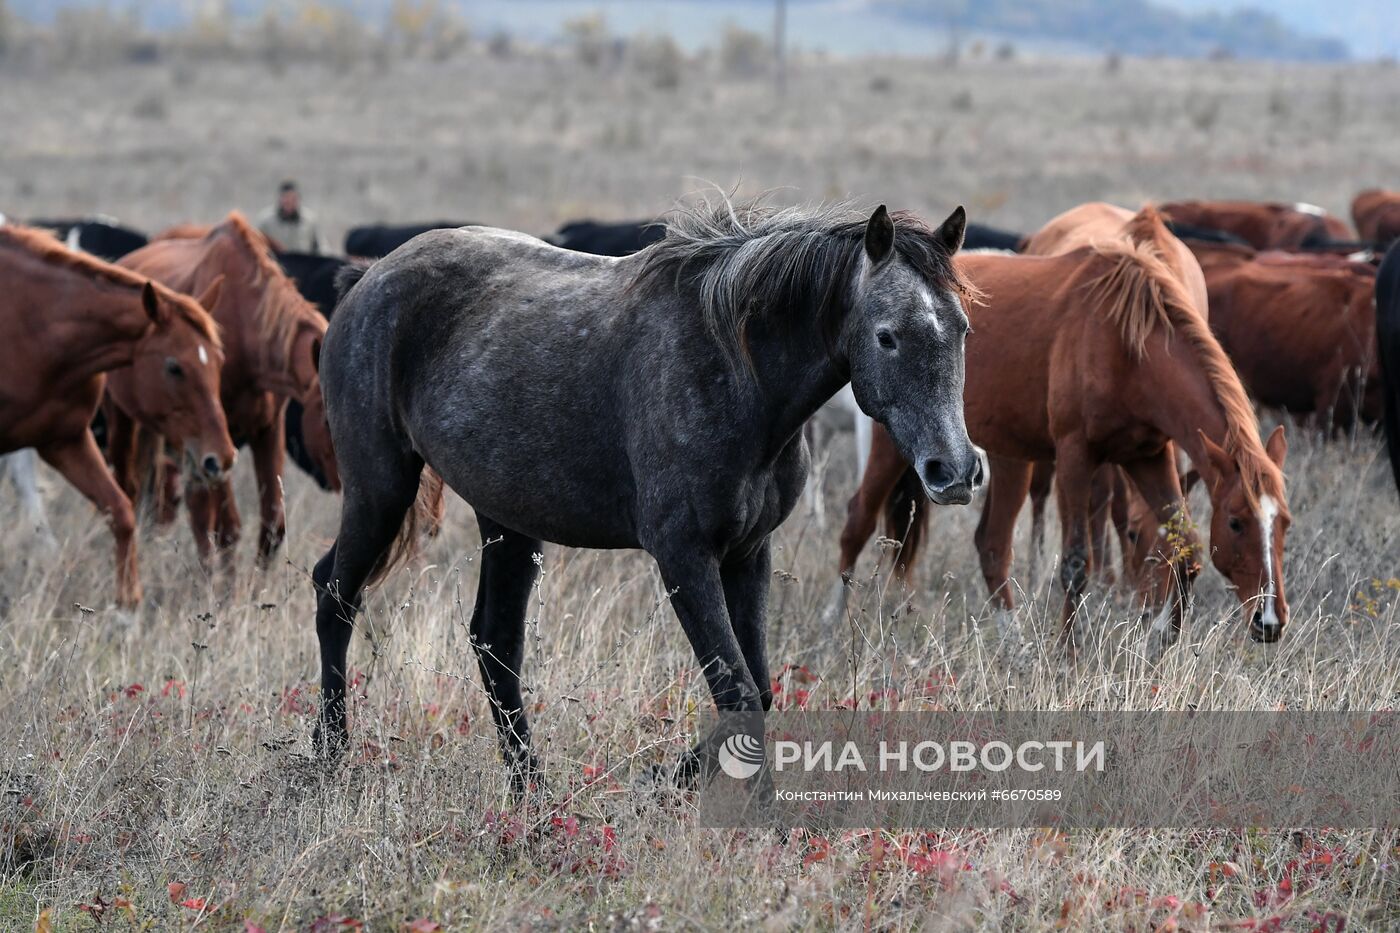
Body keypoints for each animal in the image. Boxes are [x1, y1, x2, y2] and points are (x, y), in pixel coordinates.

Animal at [0, 224, 235, 602]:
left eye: (219, 361)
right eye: (174, 367)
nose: (221, 458)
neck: (32, 324)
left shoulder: (65, 441)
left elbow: (121, 512)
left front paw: (127, 608)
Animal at [107, 210, 336, 563]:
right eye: (327, 417)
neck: (245, 322)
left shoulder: (266, 430)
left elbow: (272, 526)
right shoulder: (216, 444)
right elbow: (227, 529)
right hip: (127, 423)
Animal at [312, 200, 980, 790]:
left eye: (962, 328)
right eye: (888, 336)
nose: (954, 470)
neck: (736, 371)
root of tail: (367, 279)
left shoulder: (748, 553)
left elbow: (758, 690)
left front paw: (682, 783)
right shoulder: (683, 557)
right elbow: (738, 690)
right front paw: (689, 790)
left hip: (505, 520)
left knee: (494, 641)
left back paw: (531, 792)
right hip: (380, 489)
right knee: (336, 595)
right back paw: (329, 757)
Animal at [828, 203, 1288, 652]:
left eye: (1284, 523)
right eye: (1236, 522)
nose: (1270, 621)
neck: (1124, 343)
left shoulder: (1148, 457)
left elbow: (1186, 547)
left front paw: (1161, 637)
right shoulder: (1075, 458)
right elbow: (1075, 563)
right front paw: (1067, 653)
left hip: (1007, 456)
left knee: (992, 544)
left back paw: (1013, 639)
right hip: (891, 447)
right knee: (857, 520)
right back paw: (837, 621)